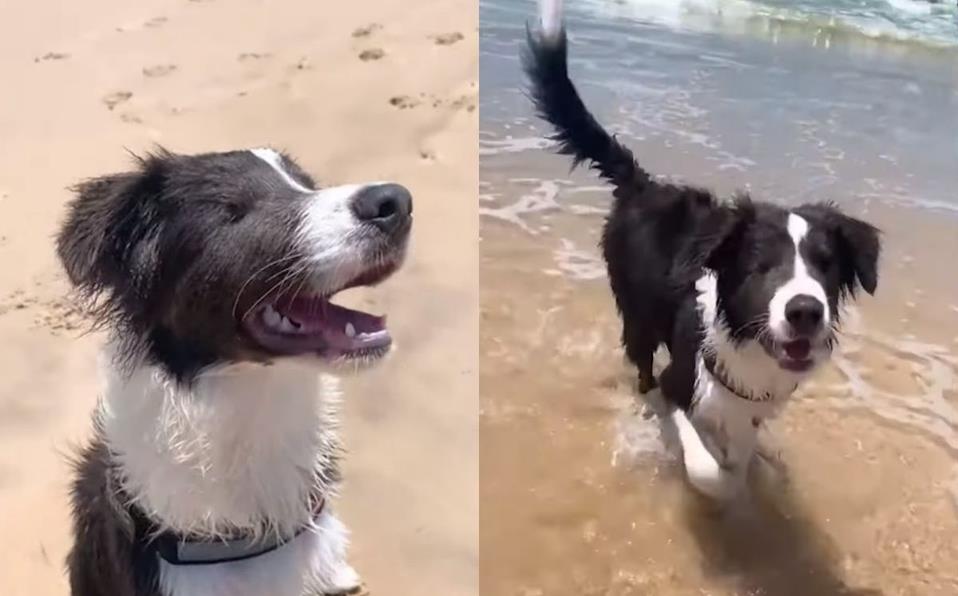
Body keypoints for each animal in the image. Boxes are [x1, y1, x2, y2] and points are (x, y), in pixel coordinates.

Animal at [524, 1, 884, 498]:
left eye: (824, 266)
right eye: (761, 267)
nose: (805, 312)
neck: (745, 343)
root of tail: (644, 185)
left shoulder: (751, 405)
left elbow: (739, 453)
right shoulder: (682, 380)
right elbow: (709, 468)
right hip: (638, 316)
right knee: (643, 369)